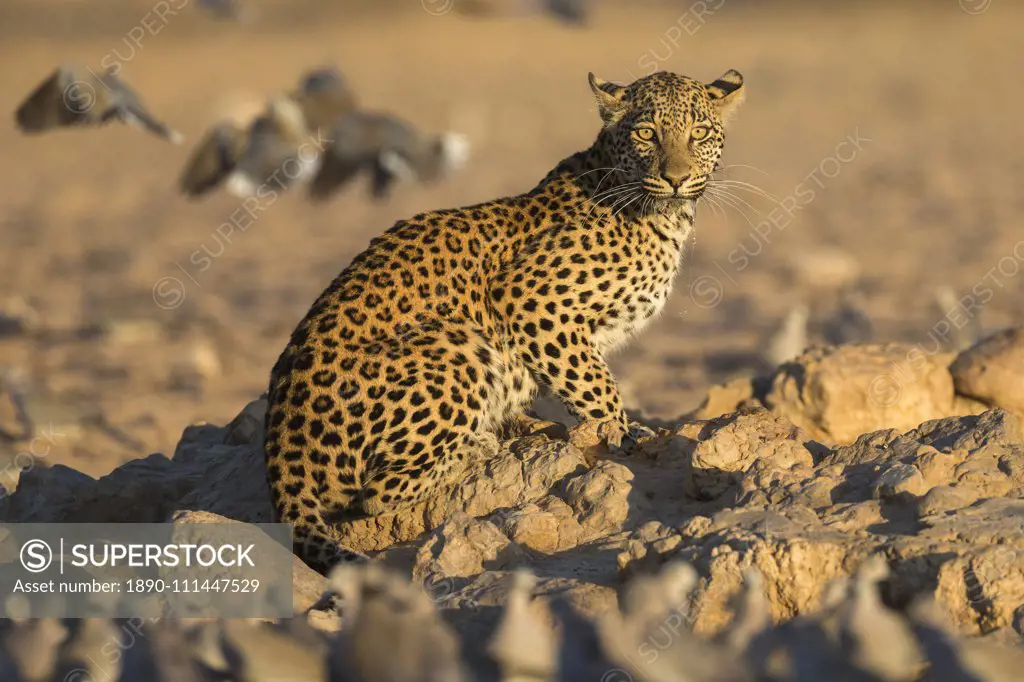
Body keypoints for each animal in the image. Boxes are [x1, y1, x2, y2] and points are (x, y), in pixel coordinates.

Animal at [264, 67, 745, 569]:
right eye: (647, 133)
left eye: (699, 134)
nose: (676, 178)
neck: (662, 216)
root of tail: (283, 454)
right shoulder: (530, 297)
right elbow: (598, 389)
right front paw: (623, 437)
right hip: (456, 341)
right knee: (379, 492)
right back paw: (479, 447)